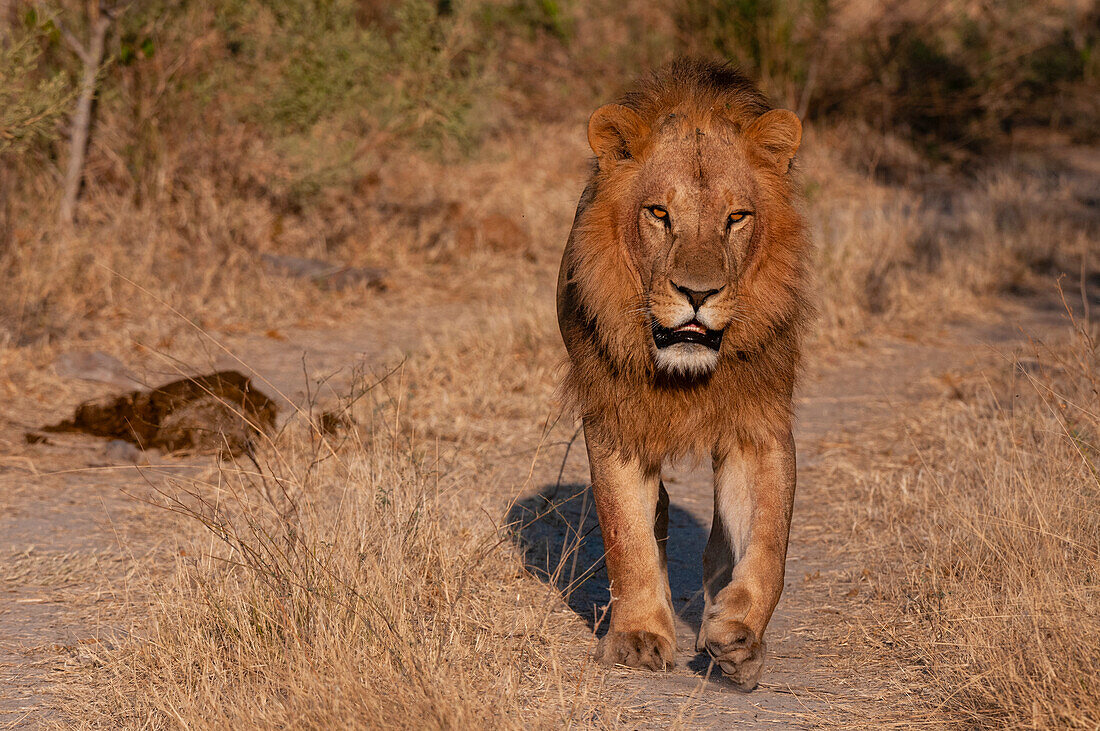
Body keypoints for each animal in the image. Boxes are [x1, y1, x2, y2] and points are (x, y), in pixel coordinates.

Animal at [554, 58, 814, 690]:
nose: (698, 295)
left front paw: (738, 634)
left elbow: (769, 542)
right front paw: (638, 637)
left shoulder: (757, 423)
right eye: (659, 214)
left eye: (736, 218)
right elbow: (627, 535)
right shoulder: (615, 420)